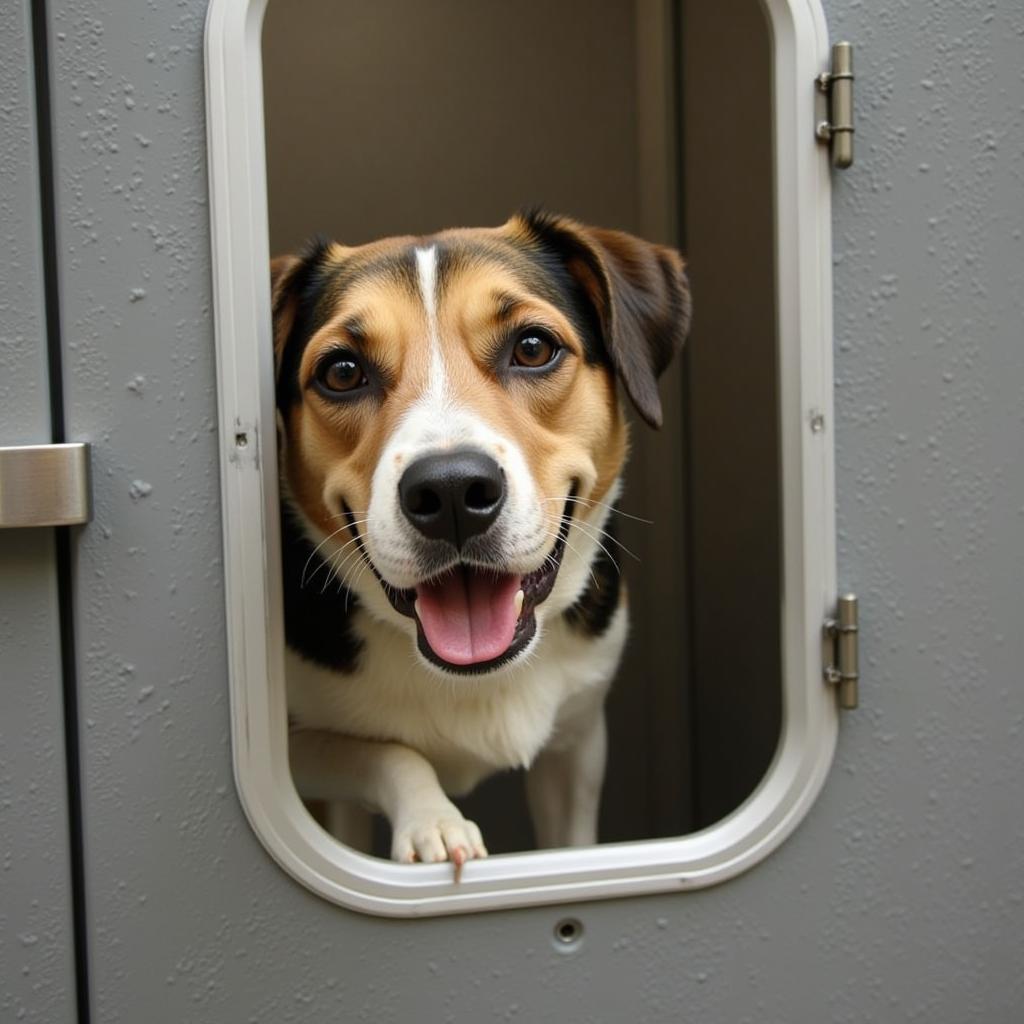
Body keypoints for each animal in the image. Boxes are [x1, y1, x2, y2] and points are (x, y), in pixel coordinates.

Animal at [272, 211, 688, 876]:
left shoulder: (577, 743)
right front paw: (433, 822)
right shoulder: (294, 762)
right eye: (342, 372)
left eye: (533, 347)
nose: (450, 493)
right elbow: (384, 751)